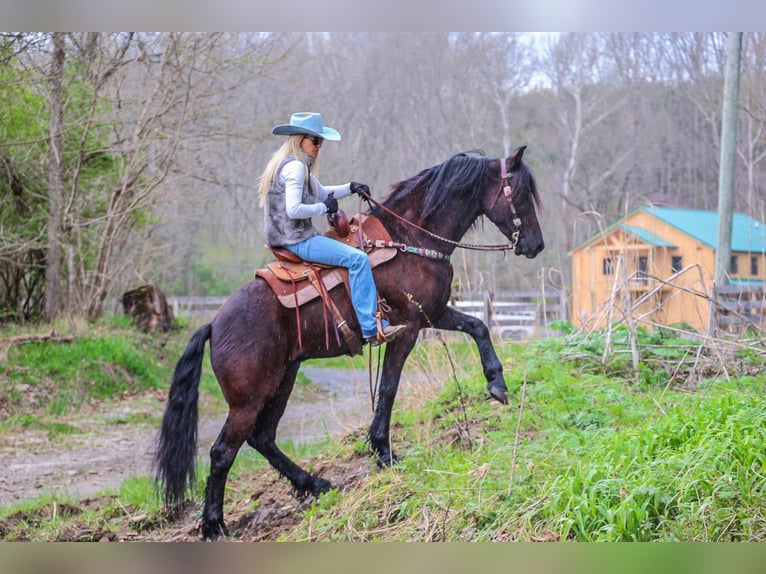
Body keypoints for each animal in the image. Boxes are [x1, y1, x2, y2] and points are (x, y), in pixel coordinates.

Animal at [154, 146, 544, 544]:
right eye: (521, 193)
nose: (536, 244)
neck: (408, 237)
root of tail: (215, 323)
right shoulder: (409, 329)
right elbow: (388, 388)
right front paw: (384, 452)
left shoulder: (432, 314)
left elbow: (478, 326)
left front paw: (497, 384)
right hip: (248, 399)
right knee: (222, 452)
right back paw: (214, 524)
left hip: (283, 379)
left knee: (262, 438)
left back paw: (313, 483)